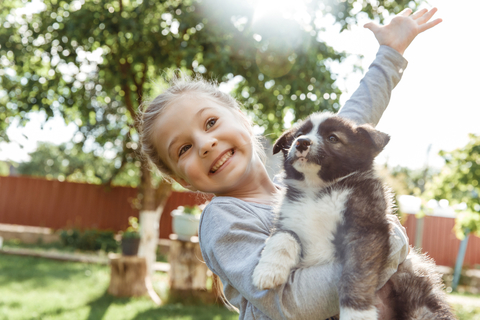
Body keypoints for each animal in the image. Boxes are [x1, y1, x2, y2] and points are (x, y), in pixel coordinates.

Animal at [251, 112, 454, 320]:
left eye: (333, 138)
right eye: (299, 134)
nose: (301, 142)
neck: (317, 190)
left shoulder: (364, 231)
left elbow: (356, 274)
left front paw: (356, 312)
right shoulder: (288, 218)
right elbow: (283, 237)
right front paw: (268, 270)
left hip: (420, 300)